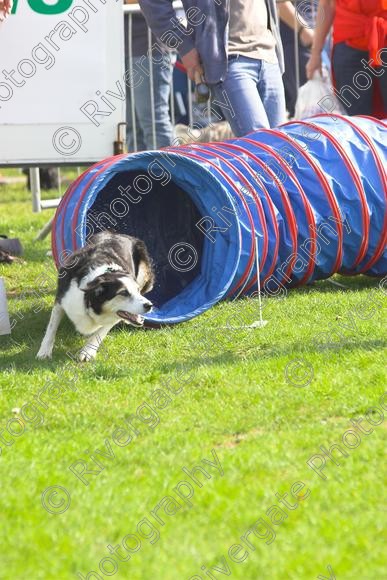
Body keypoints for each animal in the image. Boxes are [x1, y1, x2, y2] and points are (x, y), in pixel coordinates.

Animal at [36, 232, 155, 362]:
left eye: (137, 290)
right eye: (123, 293)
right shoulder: (61, 299)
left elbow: (100, 332)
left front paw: (87, 352)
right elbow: (51, 327)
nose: (149, 305)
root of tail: (119, 234)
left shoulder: (113, 316)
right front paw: (44, 351)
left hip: (144, 271)